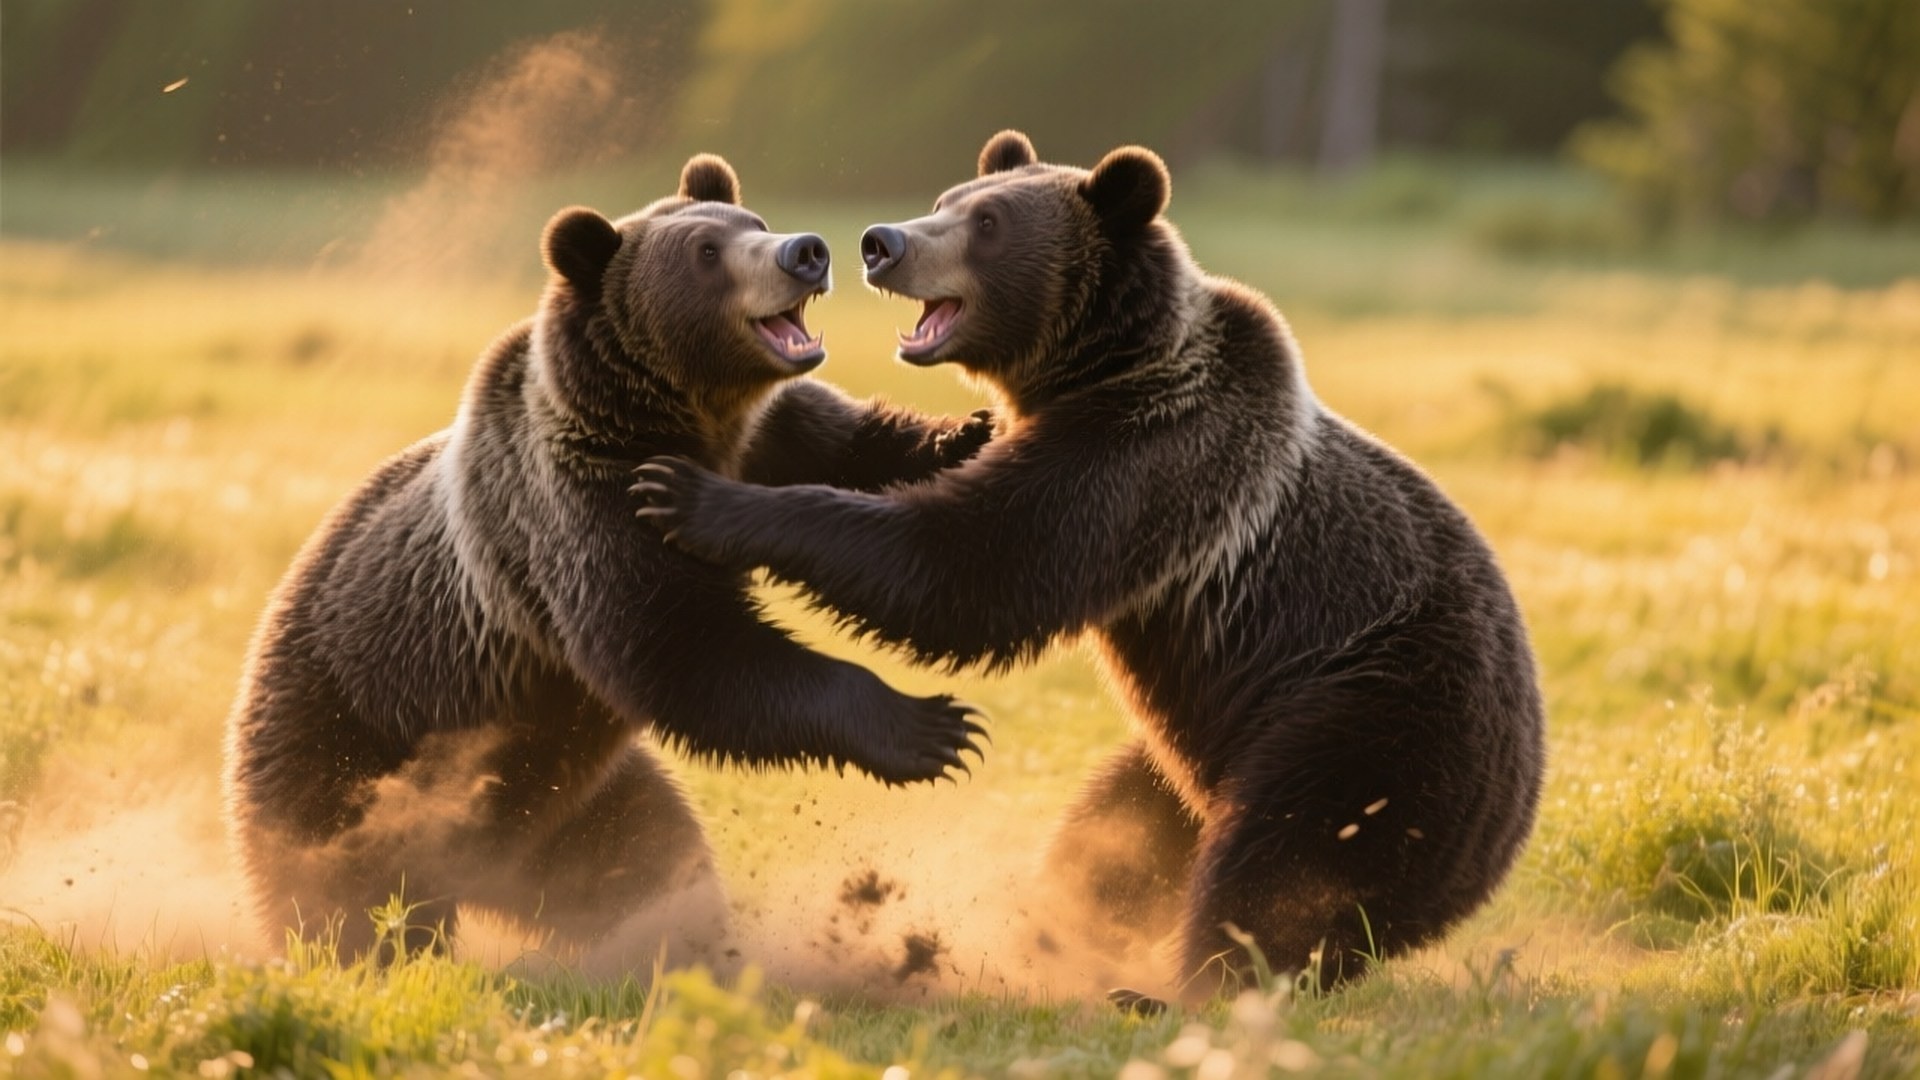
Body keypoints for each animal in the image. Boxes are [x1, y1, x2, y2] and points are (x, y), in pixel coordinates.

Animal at [225, 153, 989, 967]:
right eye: (707, 253)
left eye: (752, 223)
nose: (805, 251)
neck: (678, 422)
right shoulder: (577, 513)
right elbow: (685, 646)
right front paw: (926, 727)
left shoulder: (769, 439)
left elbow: (848, 452)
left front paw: (964, 433)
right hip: (347, 750)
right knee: (342, 898)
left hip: (571, 803)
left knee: (645, 855)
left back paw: (665, 941)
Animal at [631, 131, 1547, 1003]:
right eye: (949, 199)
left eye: (988, 223)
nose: (881, 242)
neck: (1097, 369)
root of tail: (1526, 796)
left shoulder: (1151, 461)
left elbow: (971, 567)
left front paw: (700, 499)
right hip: (1192, 748)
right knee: (1122, 834)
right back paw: (1060, 930)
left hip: (1373, 714)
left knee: (1293, 858)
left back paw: (1186, 987)